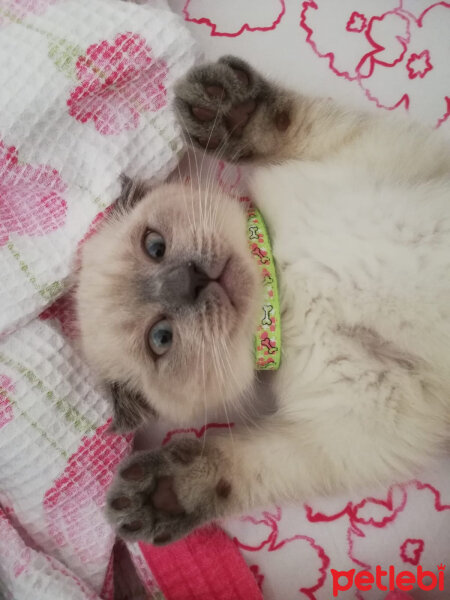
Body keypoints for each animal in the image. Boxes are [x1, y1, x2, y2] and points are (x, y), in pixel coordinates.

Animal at [75, 55, 450, 544]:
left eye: (154, 246)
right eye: (160, 338)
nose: (187, 281)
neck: (281, 284)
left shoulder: (378, 152)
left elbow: (290, 126)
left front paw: (232, 110)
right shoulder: (366, 423)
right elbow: (260, 465)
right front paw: (168, 492)